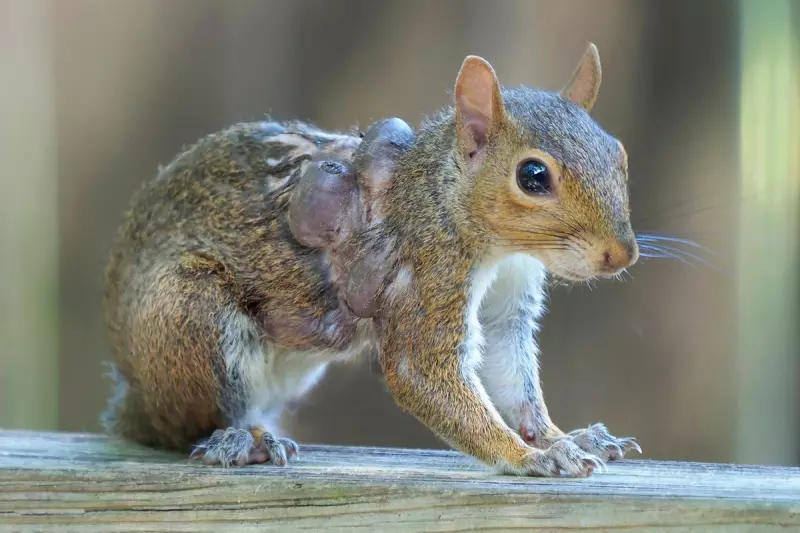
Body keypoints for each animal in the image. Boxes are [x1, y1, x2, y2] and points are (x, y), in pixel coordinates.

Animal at [102, 43, 641, 477]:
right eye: (532, 176)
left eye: (619, 154)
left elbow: (513, 377)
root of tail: (134, 395)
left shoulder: (510, 299)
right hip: (189, 313)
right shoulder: (429, 272)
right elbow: (421, 373)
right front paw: (530, 457)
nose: (622, 255)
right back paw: (239, 440)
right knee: (183, 425)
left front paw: (560, 437)